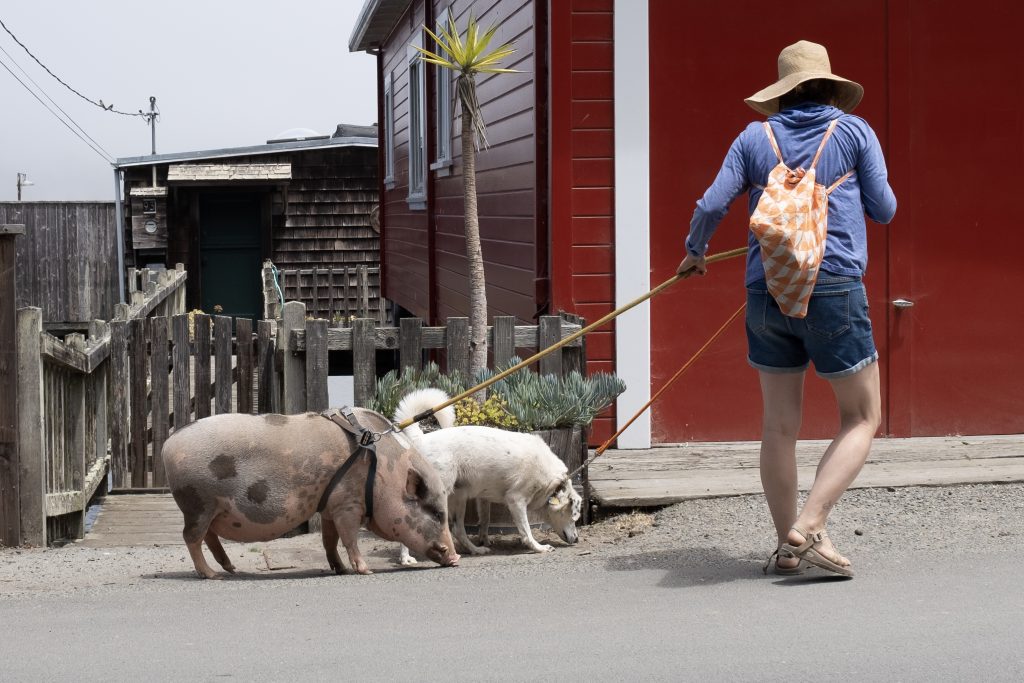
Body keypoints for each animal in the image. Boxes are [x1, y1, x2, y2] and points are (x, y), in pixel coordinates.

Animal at [160, 409, 460, 581]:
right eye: (437, 513)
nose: (456, 559)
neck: (385, 470)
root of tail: (168, 444)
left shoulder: (329, 505)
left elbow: (330, 541)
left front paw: (339, 569)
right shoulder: (348, 504)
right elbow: (350, 538)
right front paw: (365, 571)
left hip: (209, 508)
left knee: (208, 537)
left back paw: (231, 569)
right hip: (198, 502)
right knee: (192, 537)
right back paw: (212, 575)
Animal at [393, 387, 581, 565]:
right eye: (574, 518)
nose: (577, 539)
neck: (551, 482)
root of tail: (421, 439)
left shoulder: (483, 498)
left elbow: (485, 520)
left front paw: (484, 540)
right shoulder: (516, 500)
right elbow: (526, 530)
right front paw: (538, 547)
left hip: (459, 497)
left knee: (458, 529)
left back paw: (475, 550)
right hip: (440, 495)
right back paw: (406, 558)